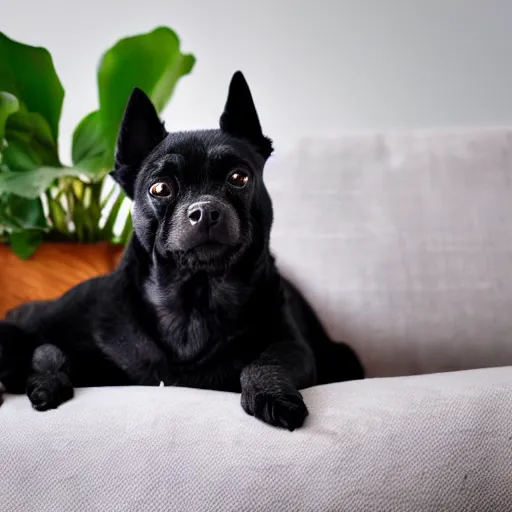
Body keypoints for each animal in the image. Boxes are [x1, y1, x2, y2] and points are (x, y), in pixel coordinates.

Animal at [0, 72, 364, 430]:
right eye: (160, 188)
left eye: (239, 178)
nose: (206, 210)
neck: (194, 301)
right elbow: (38, 345)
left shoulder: (291, 346)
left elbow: (265, 362)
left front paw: (272, 395)